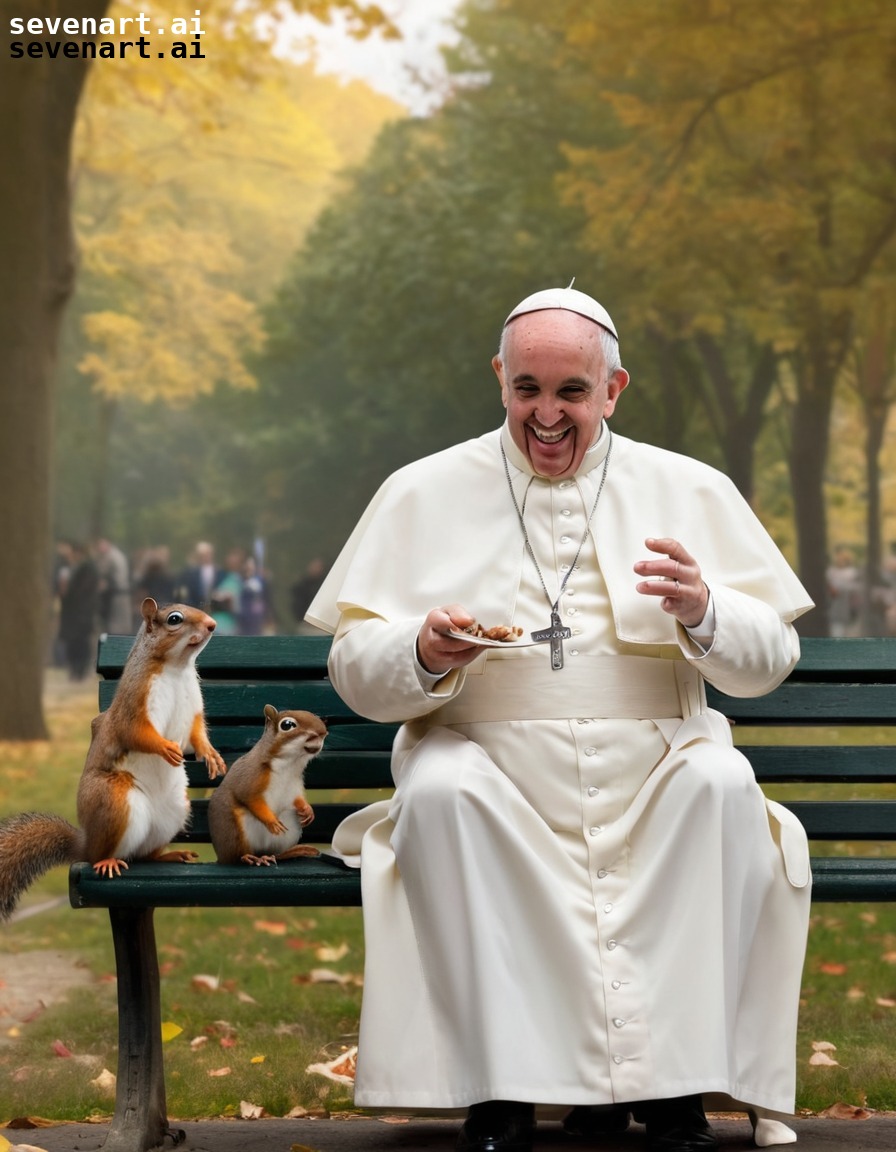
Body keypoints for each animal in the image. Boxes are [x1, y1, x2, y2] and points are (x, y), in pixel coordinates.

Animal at [0, 599, 226, 921]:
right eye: (174, 619)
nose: (212, 625)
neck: (176, 669)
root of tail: (85, 845)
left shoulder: (193, 706)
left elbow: (197, 735)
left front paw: (210, 756)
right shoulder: (133, 704)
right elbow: (135, 733)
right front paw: (165, 748)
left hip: (174, 810)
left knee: (145, 855)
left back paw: (170, 854)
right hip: (113, 800)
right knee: (105, 853)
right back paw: (107, 861)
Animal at [207, 700, 327, 866]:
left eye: (315, 715)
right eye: (287, 725)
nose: (323, 732)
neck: (290, 764)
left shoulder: (294, 784)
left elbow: (297, 799)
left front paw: (307, 809)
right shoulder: (250, 777)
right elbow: (250, 798)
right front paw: (271, 821)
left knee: (273, 853)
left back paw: (278, 854)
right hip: (235, 831)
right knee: (237, 856)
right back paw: (249, 857)